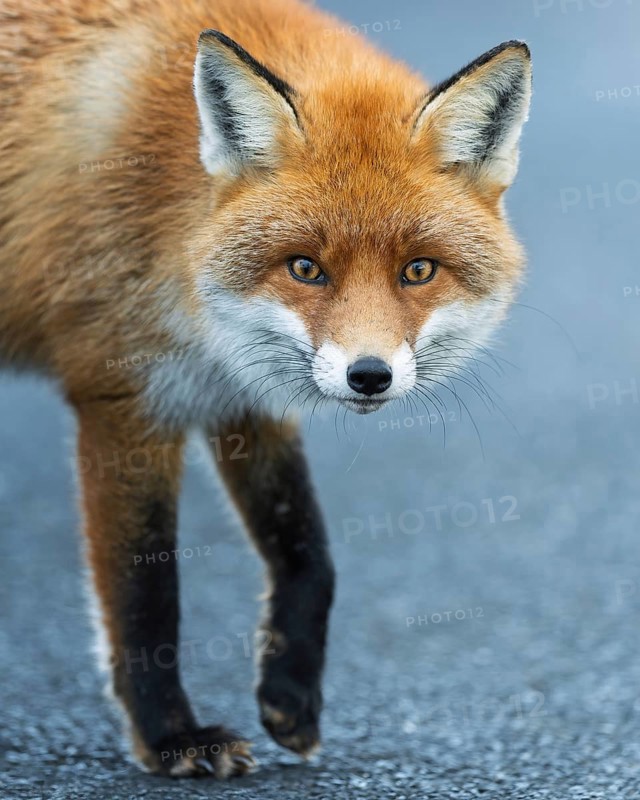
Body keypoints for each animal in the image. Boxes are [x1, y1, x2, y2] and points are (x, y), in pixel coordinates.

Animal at [0, 0, 531, 781]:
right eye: (305, 267)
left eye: (418, 270)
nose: (369, 374)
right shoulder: (122, 394)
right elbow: (144, 593)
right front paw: (171, 737)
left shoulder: (238, 385)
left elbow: (308, 551)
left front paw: (290, 695)